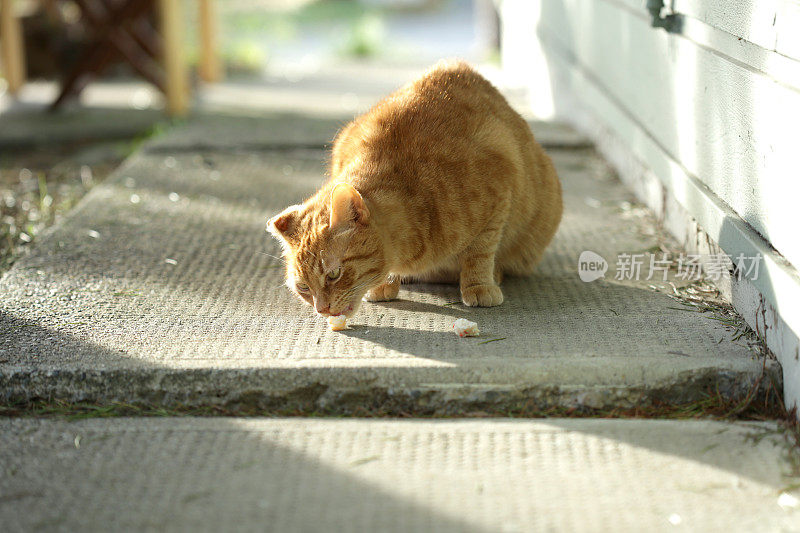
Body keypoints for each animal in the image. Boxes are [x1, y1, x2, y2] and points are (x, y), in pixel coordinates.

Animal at [268, 61, 564, 318]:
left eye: (334, 274)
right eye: (303, 287)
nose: (322, 310)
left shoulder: (498, 194)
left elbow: (479, 252)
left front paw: (479, 285)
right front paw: (384, 284)